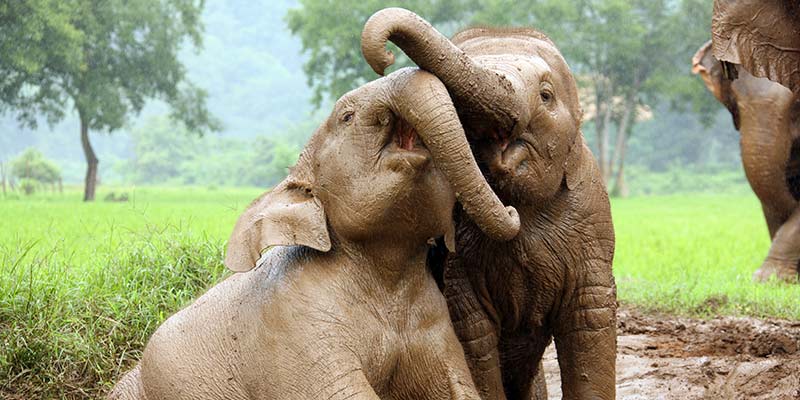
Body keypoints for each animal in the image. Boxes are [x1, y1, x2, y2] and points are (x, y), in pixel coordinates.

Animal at [106, 67, 520, 398]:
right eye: (347, 116)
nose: (513, 209)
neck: (385, 270)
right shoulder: (292, 329)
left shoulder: (437, 328)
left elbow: (460, 389)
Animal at [362, 7, 620, 400]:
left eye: (546, 96)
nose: (385, 60)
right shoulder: (459, 266)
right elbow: (470, 330)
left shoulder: (591, 222)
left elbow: (589, 319)